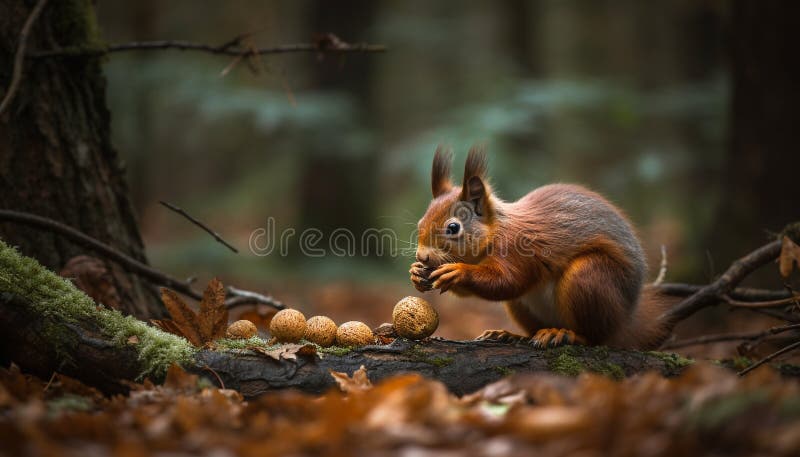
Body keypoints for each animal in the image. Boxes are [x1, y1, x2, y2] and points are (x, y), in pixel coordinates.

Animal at [410, 147, 672, 350]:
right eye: (420, 223)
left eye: (453, 227)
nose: (422, 255)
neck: (494, 234)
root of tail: (627, 321)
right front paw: (416, 272)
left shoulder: (517, 249)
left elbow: (507, 281)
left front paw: (459, 271)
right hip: (521, 307)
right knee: (533, 328)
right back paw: (510, 335)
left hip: (590, 277)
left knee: (596, 337)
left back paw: (567, 334)